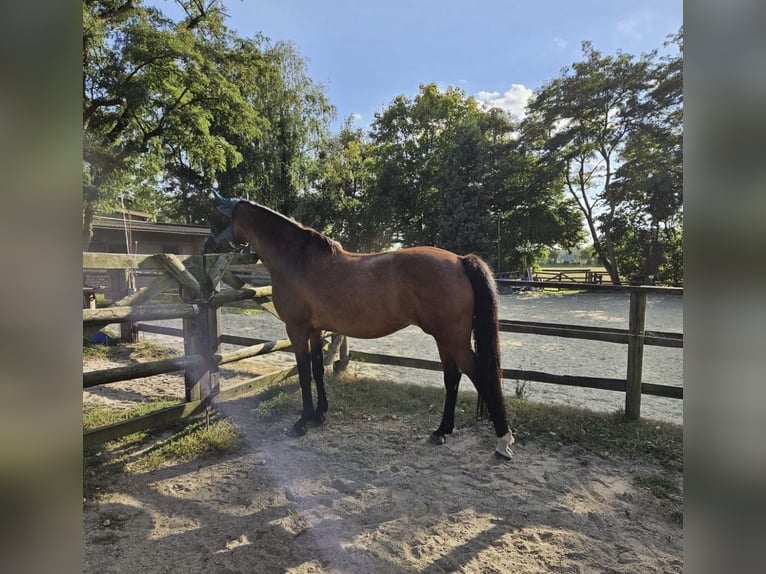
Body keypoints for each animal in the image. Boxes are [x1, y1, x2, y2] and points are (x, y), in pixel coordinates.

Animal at [202, 193, 514, 459]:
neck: (297, 258)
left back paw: (503, 441)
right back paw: (442, 431)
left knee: (479, 374)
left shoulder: (297, 328)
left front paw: (302, 422)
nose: (206, 249)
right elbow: (318, 369)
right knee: (453, 378)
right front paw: (319, 415)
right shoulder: (315, 330)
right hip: (445, 339)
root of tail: (460, 260)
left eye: (216, 217)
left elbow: (304, 373)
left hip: (453, 339)